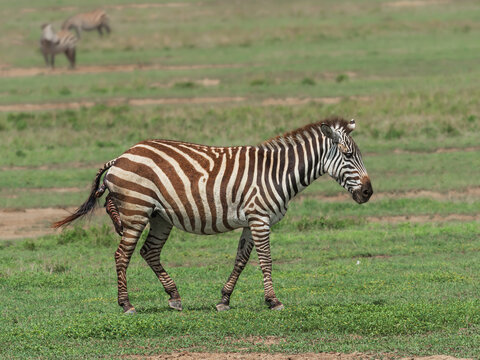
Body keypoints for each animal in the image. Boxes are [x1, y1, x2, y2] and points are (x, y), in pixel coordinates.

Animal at [53, 116, 376, 314]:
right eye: (348, 155)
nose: (368, 192)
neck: (277, 172)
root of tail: (120, 156)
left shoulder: (251, 220)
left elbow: (241, 260)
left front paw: (224, 299)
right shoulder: (260, 218)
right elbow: (266, 260)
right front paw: (273, 300)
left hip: (159, 216)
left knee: (149, 251)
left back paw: (174, 297)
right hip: (136, 210)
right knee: (123, 255)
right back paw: (126, 304)